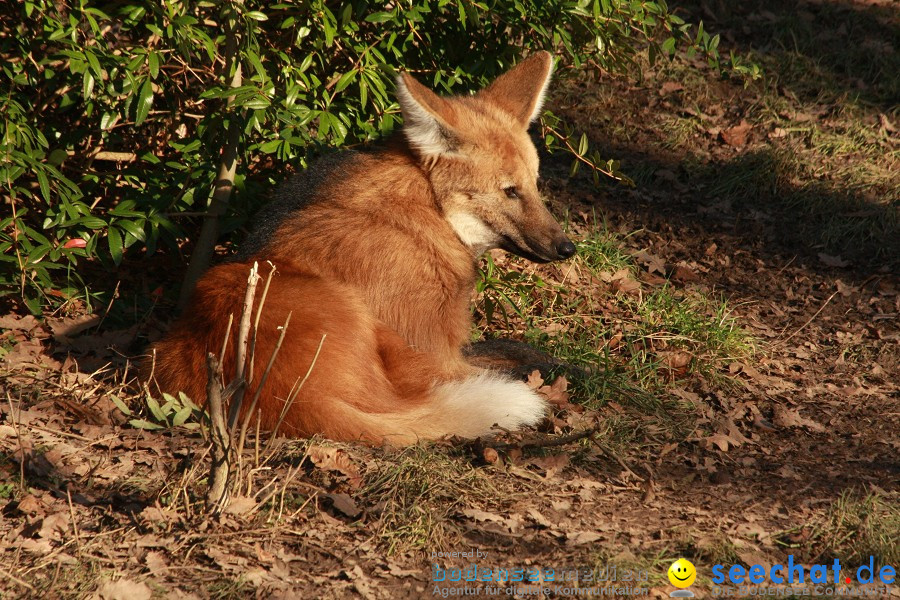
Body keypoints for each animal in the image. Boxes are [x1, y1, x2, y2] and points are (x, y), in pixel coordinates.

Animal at [150, 51, 572, 442]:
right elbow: (516, 360)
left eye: (534, 183)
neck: (428, 210)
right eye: (510, 191)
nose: (567, 247)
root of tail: (289, 398)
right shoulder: (436, 356)